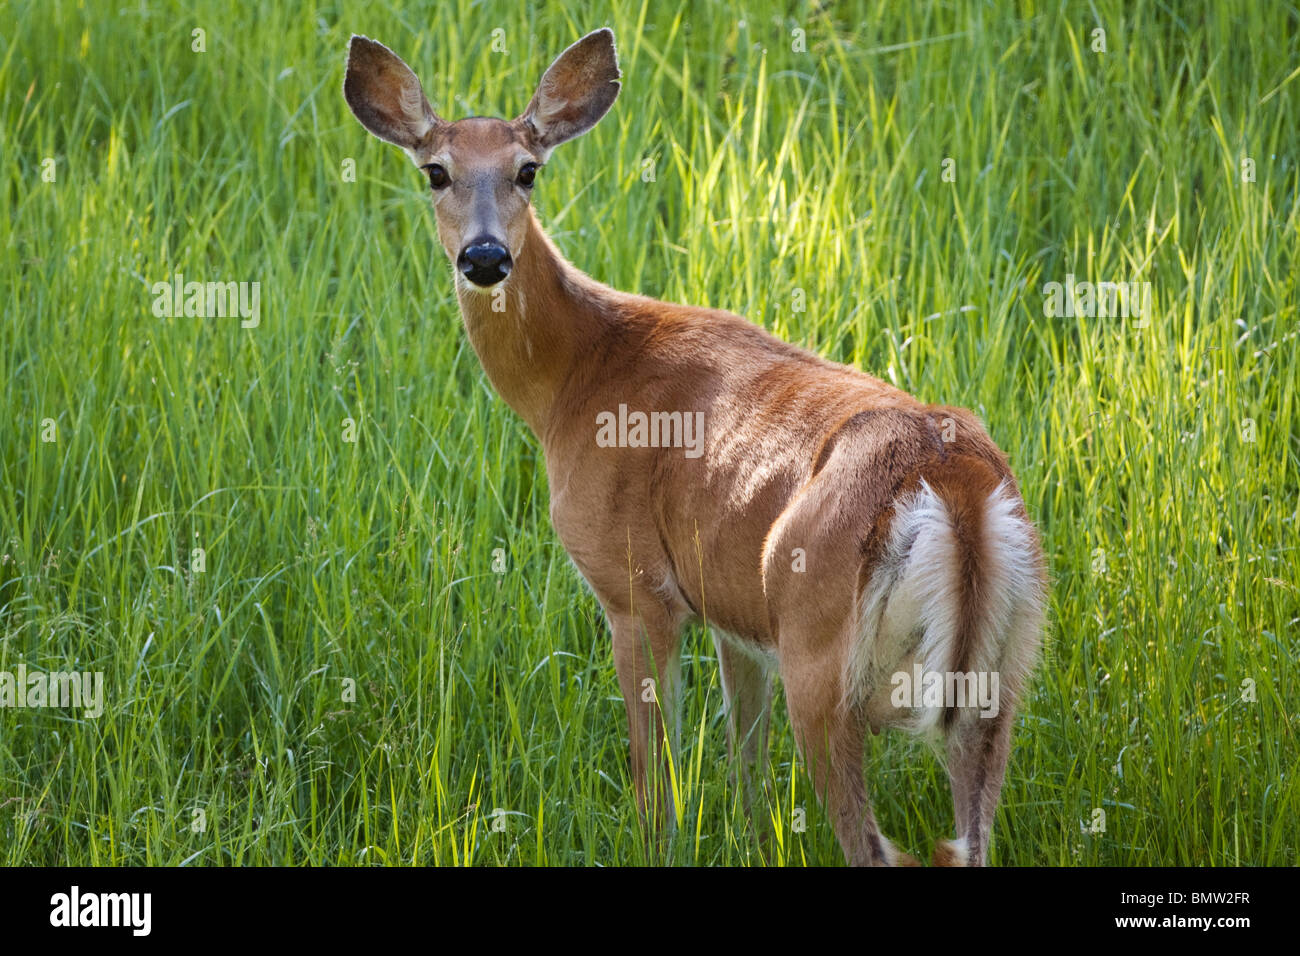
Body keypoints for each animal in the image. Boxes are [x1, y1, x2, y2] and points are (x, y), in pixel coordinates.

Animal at [343, 27, 1046, 866]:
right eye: (436, 171)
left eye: (528, 170)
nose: (484, 258)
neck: (572, 382)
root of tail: (955, 486)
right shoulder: (735, 614)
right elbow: (746, 769)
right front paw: (748, 836)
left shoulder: (635, 585)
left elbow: (658, 775)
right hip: (1003, 668)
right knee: (966, 839)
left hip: (822, 648)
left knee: (882, 848)